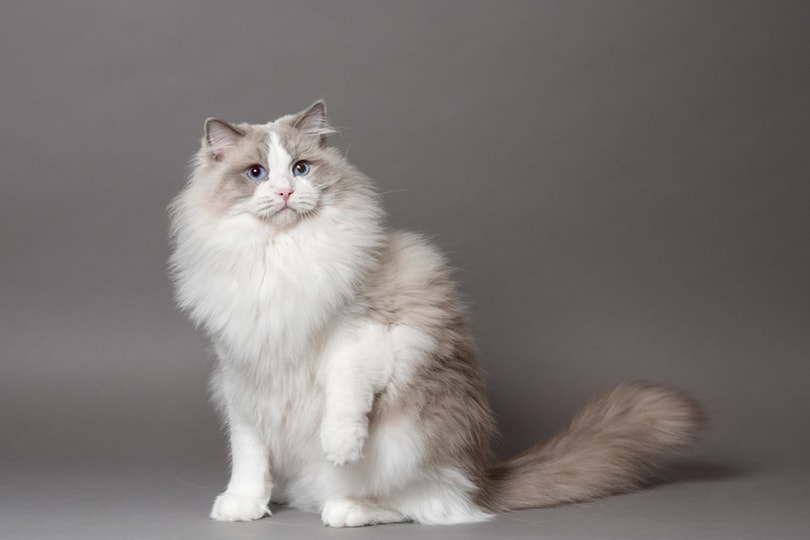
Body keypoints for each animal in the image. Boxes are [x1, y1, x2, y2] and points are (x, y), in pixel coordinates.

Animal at [167, 101, 704, 528]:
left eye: (300, 169)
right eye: (256, 173)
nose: (283, 193)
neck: (279, 256)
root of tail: (481, 477)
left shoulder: (363, 334)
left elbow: (343, 401)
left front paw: (338, 446)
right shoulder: (243, 374)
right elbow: (248, 453)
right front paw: (243, 504)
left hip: (407, 440)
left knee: (429, 506)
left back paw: (348, 507)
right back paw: (287, 497)